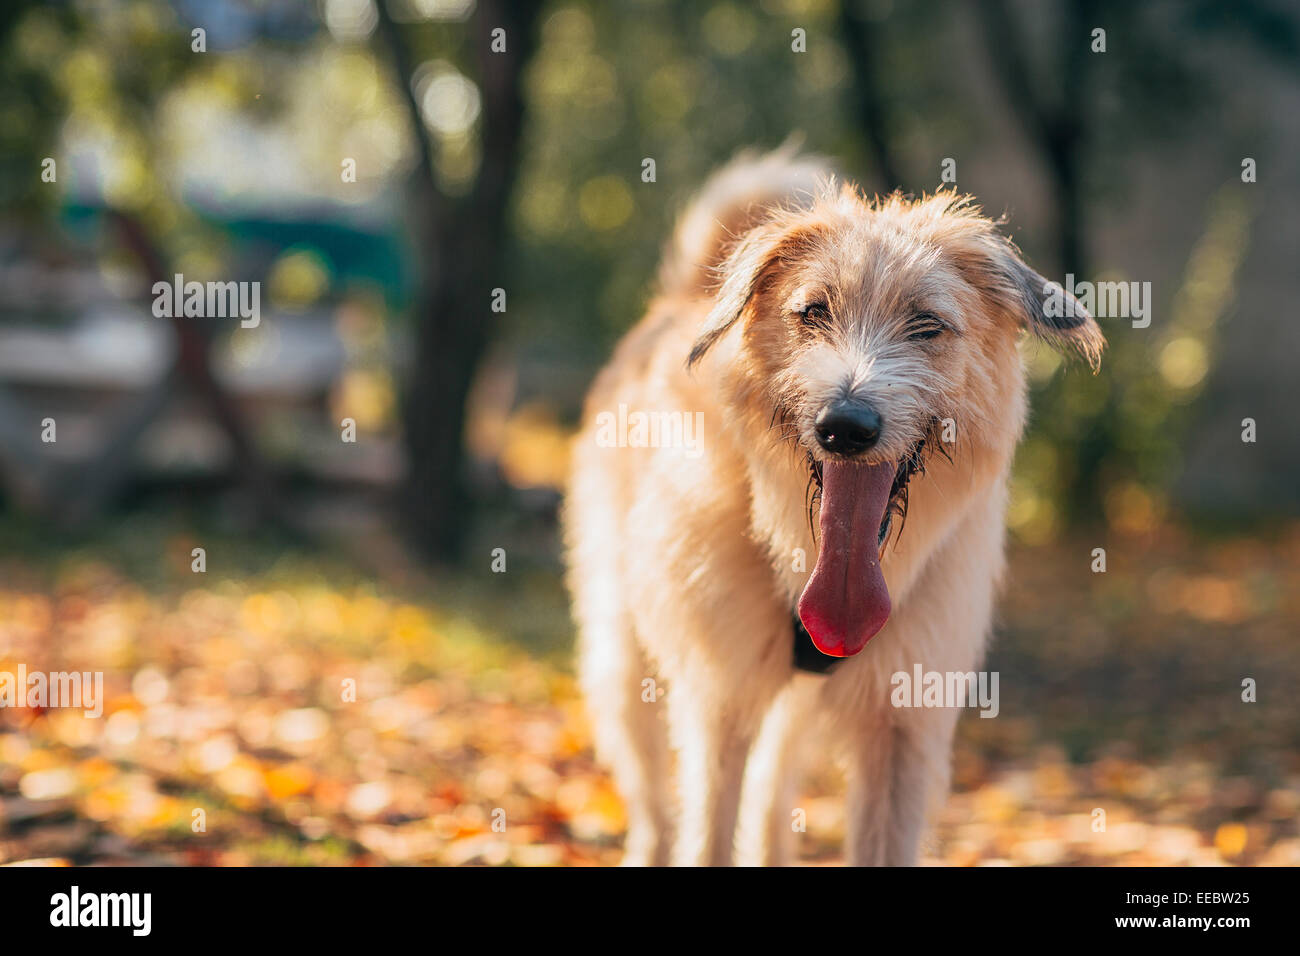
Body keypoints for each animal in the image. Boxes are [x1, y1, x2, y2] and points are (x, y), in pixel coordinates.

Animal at [564, 143, 1102, 868]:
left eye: (926, 324)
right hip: (623, 664)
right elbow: (706, 832)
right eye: (813, 312)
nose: (845, 426)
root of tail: (682, 296)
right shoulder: (719, 702)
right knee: (654, 805)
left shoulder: (901, 727)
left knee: (770, 797)